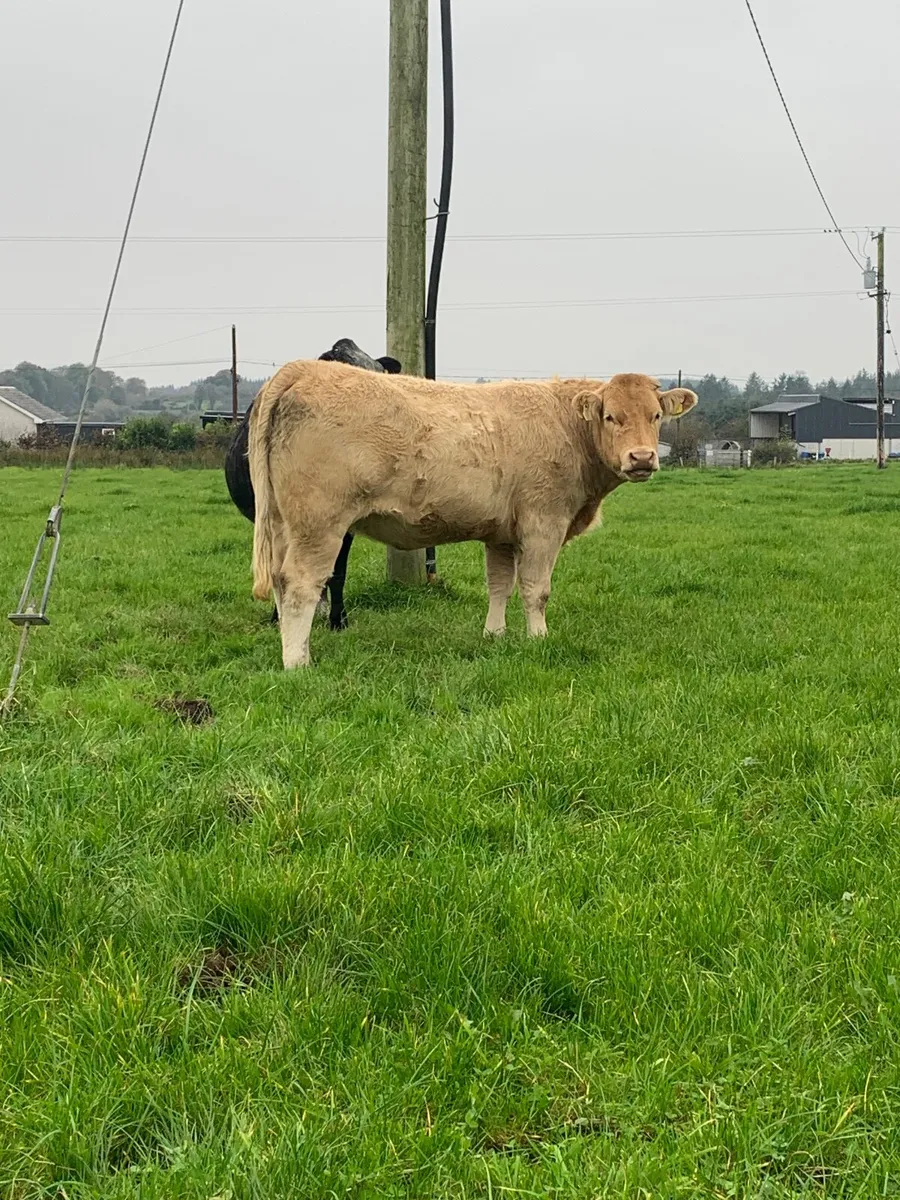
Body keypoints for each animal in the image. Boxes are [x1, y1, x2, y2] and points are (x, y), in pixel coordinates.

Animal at [247, 364, 698, 668]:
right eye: (610, 416)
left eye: (656, 416)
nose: (642, 457)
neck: (568, 428)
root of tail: (303, 368)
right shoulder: (543, 523)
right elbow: (536, 589)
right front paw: (538, 640)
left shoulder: (500, 533)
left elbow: (499, 586)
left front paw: (494, 636)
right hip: (319, 524)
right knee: (301, 584)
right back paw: (297, 662)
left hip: (284, 524)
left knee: (281, 583)